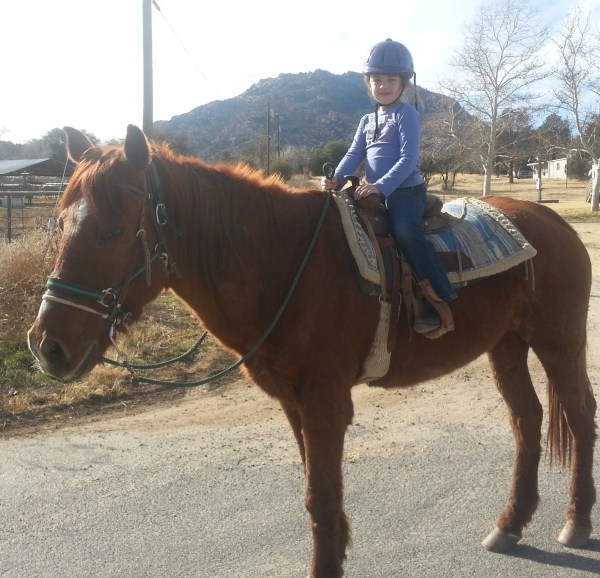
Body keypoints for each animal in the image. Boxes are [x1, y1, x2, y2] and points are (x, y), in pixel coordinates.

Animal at [28, 125, 596, 578]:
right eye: (60, 222)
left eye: (114, 231)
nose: (48, 345)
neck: (281, 262)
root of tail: (555, 226)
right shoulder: (294, 403)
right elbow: (316, 497)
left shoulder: (325, 403)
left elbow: (321, 499)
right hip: (507, 345)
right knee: (527, 420)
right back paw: (511, 523)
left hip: (558, 342)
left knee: (579, 415)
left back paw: (576, 521)